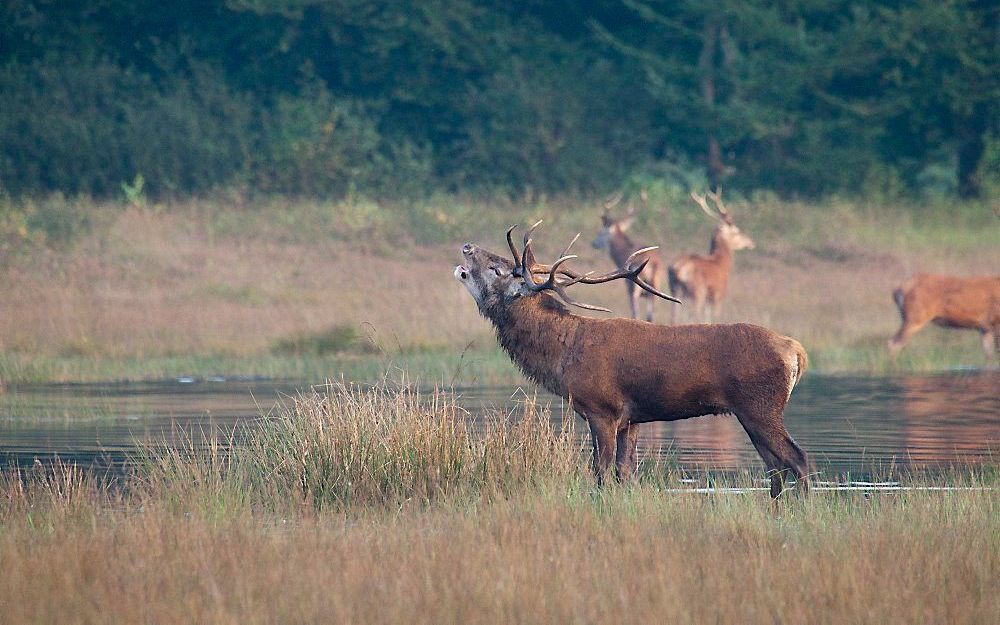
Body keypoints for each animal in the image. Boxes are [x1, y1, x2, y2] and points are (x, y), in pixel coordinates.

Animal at [456, 223, 812, 498]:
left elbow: (600, 473)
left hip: (761, 406)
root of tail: (796, 351)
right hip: (749, 413)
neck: (564, 354)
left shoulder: (602, 409)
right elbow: (624, 473)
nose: (467, 246)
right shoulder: (632, 419)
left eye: (498, 269)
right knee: (775, 467)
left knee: (797, 459)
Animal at [588, 188, 668, 320]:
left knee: (636, 311)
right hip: (656, 285)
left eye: (601, 233)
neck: (622, 254)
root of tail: (654, 264)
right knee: (651, 314)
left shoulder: (627, 284)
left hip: (634, 286)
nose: (593, 243)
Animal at [668, 188, 752, 324]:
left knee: (674, 317)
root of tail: (678, 268)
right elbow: (715, 317)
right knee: (694, 315)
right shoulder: (718, 295)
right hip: (697, 292)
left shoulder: (708, 300)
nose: (750, 242)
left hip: (675, 290)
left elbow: (707, 318)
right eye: (736, 232)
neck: (722, 263)